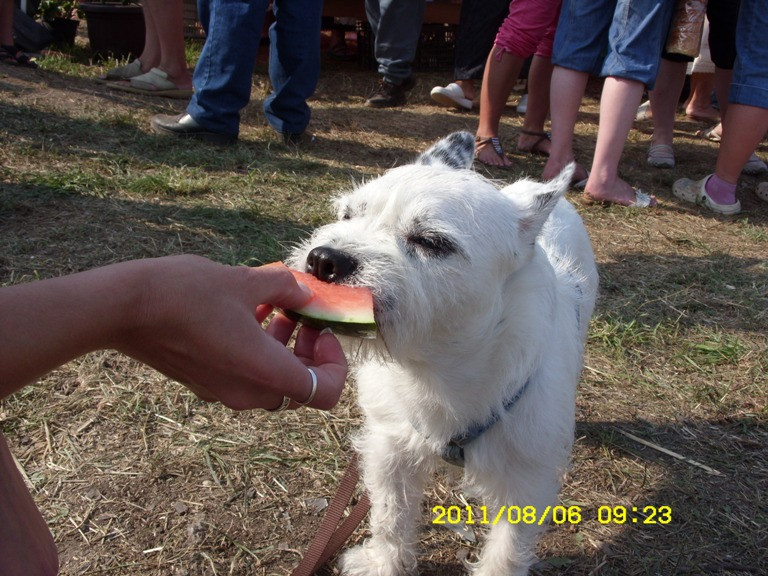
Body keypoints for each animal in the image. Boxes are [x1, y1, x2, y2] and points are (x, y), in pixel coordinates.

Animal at [288, 132, 600, 576]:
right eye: (347, 214)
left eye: (431, 242)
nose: (323, 258)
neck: (437, 367)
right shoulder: (390, 450)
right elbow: (391, 513)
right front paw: (385, 562)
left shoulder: (524, 486)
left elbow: (506, 552)